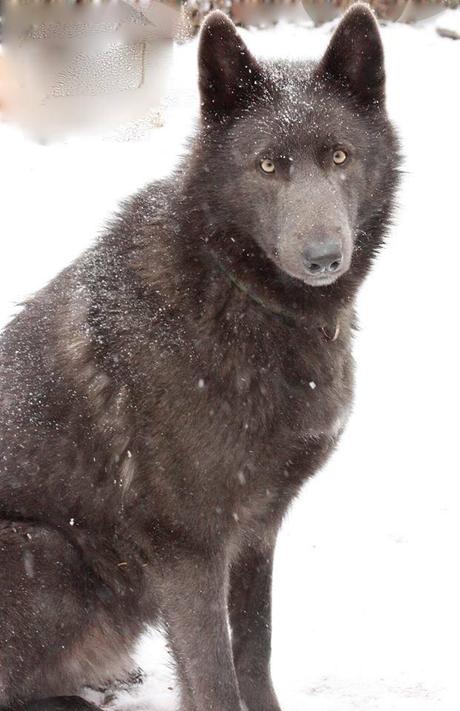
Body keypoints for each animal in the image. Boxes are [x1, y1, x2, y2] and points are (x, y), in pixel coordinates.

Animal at [0, 5, 400, 711]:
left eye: (340, 156)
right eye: (267, 166)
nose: (324, 257)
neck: (233, 291)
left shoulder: (257, 531)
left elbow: (254, 651)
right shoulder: (189, 548)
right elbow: (214, 677)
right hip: (44, 553)